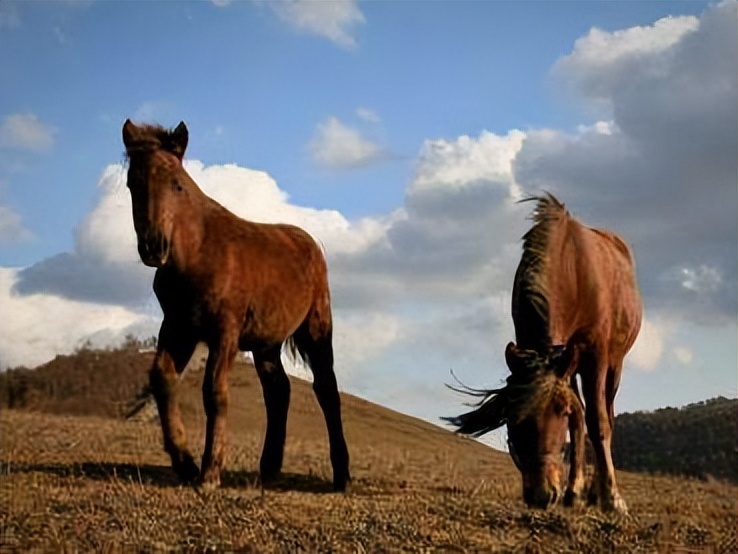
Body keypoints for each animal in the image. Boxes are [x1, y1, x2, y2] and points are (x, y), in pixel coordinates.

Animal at [121, 118, 350, 490]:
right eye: (131, 184)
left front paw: (210, 473)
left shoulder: (224, 331)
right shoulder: (178, 328)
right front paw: (185, 464)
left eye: (177, 185)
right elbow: (162, 378)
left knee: (326, 389)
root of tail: (310, 243)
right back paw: (268, 470)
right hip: (266, 343)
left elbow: (215, 392)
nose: (154, 246)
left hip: (316, 329)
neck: (197, 253)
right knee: (279, 391)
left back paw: (341, 475)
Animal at [442, 192, 640, 512]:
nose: (542, 494)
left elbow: (596, 422)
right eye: (513, 418)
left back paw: (600, 490)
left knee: (606, 414)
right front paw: (575, 491)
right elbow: (578, 418)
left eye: (558, 412)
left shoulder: (595, 356)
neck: (573, 270)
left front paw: (612, 498)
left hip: (614, 365)